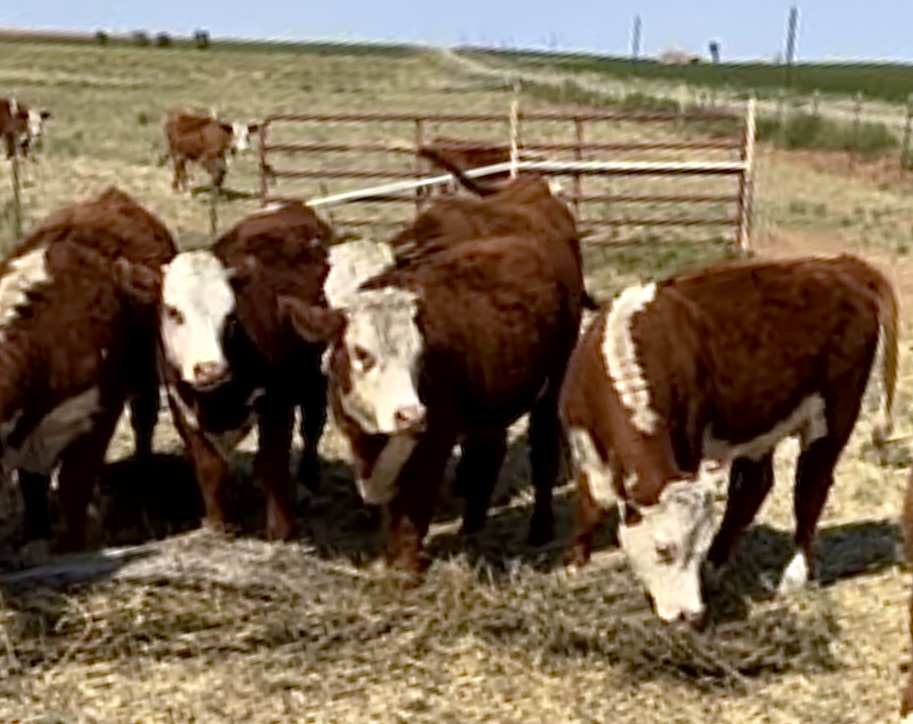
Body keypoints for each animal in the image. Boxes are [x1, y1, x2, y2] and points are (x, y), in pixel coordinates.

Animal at [0, 188, 173, 556]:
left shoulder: (97, 416)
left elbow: (72, 490)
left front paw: (71, 546)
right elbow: (32, 488)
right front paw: (36, 537)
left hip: (145, 376)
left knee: (145, 420)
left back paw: (142, 478)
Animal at [155, 201, 336, 540]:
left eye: (230, 316)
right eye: (173, 312)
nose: (209, 369)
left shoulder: (277, 399)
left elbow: (271, 463)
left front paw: (282, 530)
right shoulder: (181, 404)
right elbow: (209, 467)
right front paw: (218, 524)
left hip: (312, 372)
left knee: (313, 424)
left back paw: (309, 479)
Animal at [560, 253, 896, 624]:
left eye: (696, 545)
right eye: (664, 549)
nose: (691, 614)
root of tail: (841, 265)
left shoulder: (687, 442)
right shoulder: (582, 445)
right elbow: (589, 505)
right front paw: (575, 564)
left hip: (835, 413)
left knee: (811, 489)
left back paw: (792, 574)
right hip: (762, 423)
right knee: (753, 486)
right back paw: (719, 563)